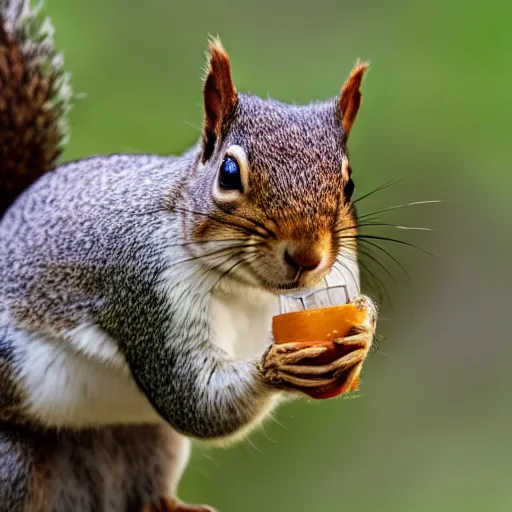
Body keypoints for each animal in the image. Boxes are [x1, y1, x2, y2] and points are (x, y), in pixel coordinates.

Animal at [0, 1, 376, 512]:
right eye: (229, 173)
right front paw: (275, 367)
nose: (307, 255)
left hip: (146, 438)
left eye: (349, 184)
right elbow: (196, 402)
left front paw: (364, 331)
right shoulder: (147, 288)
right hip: (13, 459)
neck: (248, 287)